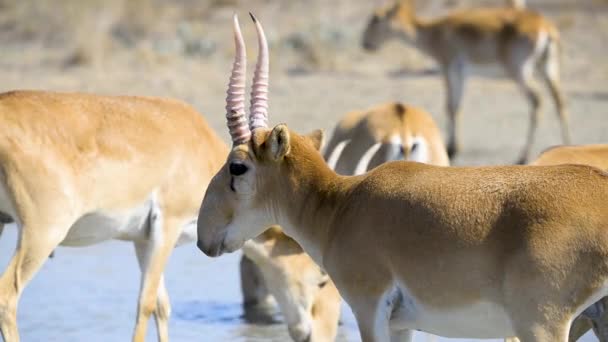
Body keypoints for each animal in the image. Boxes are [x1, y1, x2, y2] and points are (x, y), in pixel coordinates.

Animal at [0, 89, 228, 340]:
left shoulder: (143, 241)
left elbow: (161, 306)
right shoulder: (168, 226)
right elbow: (146, 304)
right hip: (42, 234)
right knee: (6, 298)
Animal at [360, 0, 568, 164]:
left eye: (376, 18)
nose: (365, 44)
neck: (435, 32)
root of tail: (546, 28)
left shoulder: (448, 69)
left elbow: (450, 106)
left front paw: (451, 149)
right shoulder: (463, 75)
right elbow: (457, 106)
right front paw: (453, 147)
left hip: (520, 73)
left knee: (537, 100)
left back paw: (522, 157)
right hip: (547, 70)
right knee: (559, 101)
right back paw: (567, 145)